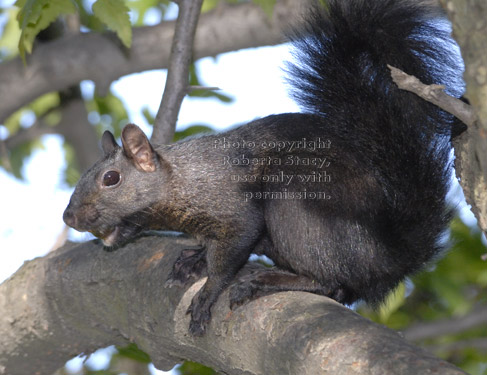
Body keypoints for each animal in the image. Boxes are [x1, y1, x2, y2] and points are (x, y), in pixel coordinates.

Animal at [63, 0, 466, 334]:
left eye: (111, 178)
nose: (69, 217)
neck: (181, 180)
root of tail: (389, 254)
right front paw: (194, 259)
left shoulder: (233, 207)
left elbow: (231, 252)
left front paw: (208, 292)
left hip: (297, 200)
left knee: (332, 283)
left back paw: (265, 282)